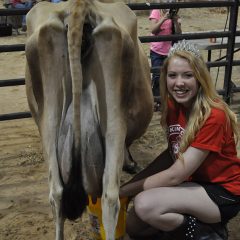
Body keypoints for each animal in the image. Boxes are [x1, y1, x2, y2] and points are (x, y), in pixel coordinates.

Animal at [24, 0, 154, 239]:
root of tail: (80, 6)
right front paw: (131, 163)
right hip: (114, 116)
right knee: (110, 196)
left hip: (47, 117)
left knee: (56, 193)